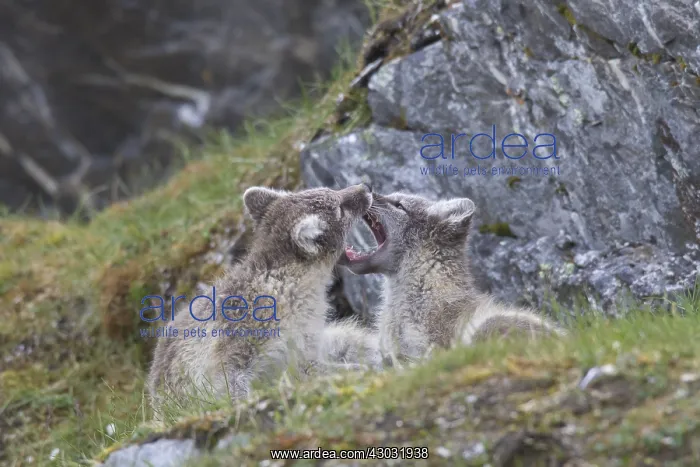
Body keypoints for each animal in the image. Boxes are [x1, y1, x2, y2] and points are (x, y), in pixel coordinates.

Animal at [147, 183, 376, 417]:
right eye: (340, 209)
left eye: (332, 190)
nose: (366, 187)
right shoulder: (236, 346)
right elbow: (233, 384)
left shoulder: (302, 353)